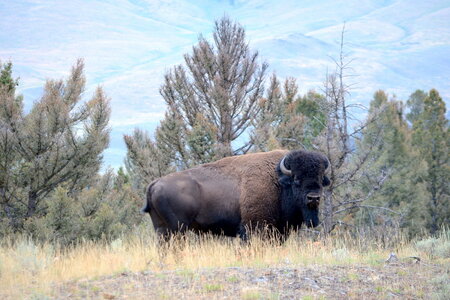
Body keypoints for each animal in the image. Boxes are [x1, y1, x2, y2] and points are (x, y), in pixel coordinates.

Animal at [143, 150, 330, 241]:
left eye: (321, 178)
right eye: (297, 179)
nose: (314, 198)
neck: (278, 181)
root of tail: (154, 184)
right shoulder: (253, 228)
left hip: (162, 229)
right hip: (177, 229)